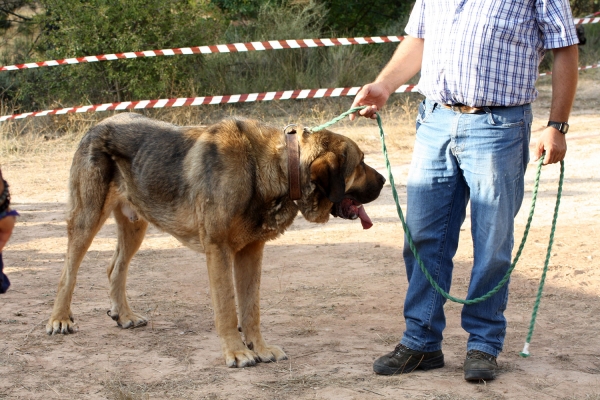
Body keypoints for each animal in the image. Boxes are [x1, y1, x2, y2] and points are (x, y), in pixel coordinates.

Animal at [45, 111, 384, 366]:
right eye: (361, 162)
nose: (383, 181)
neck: (272, 167)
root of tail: (97, 125)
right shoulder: (218, 251)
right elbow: (227, 308)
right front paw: (236, 351)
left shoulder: (251, 251)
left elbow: (250, 309)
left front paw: (259, 348)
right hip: (87, 220)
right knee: (67, 273)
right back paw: (59, 320)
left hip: (135, 226)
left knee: (115, 267)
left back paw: (124, 314)